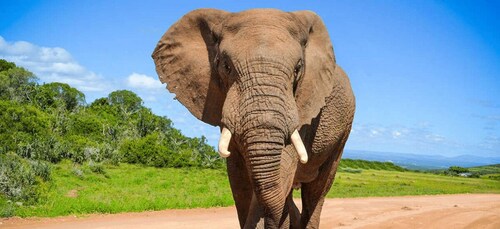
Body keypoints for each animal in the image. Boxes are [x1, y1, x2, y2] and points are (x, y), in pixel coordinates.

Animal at [152, 8, 356, 228]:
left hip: (343, 132)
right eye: (226, 66)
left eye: (297, 69)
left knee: (317, 190)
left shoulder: (303, 112)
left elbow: (280, 169)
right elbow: (239, 181)